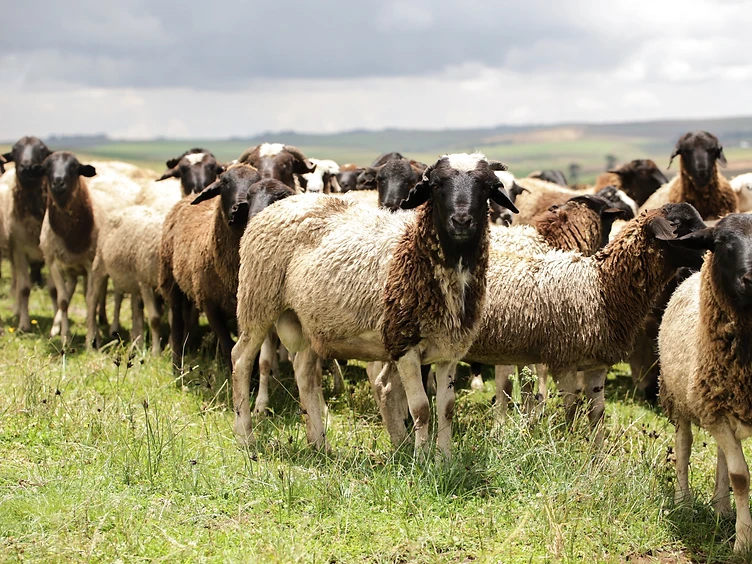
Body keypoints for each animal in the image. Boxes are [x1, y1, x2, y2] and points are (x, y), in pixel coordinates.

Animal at [231, 153, 518, 454]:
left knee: (304, 373)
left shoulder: (449, 349)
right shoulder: (404, 344)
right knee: (241, 359)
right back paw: (245, 435)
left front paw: (445, 457)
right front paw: (423, 458)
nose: (461, 220)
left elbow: (446, 409)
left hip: (309, 320)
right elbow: (421, 408)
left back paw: (319, 443)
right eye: (436, 185)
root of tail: (279, 206)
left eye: (487, 187)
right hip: (258, 299)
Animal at [658, 213, 752, 553]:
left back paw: (722, 506)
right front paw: (743, 543)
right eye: (722, 243)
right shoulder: (716, 412)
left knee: (723, 453)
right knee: (683, 446)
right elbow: (741, 477)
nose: (751, 279)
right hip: (681, 399)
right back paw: (683, 502)